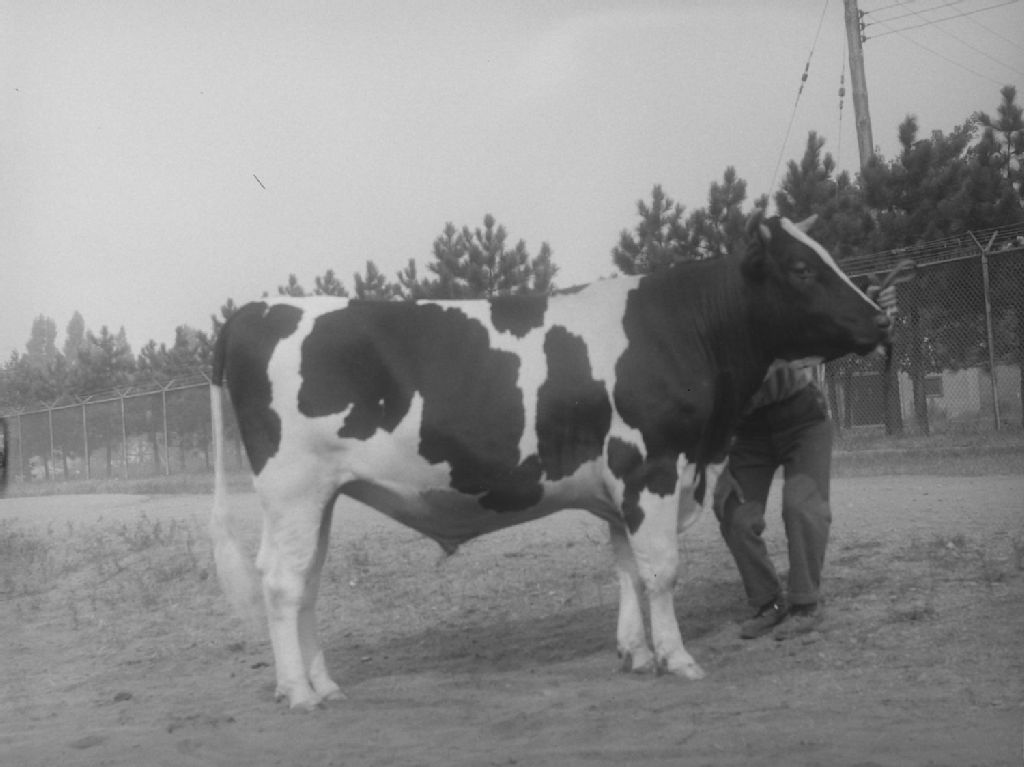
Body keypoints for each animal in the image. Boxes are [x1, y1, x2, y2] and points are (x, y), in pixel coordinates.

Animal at [210, 213, 891, 709]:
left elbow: (626, 568)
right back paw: (300, 694)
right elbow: (661, 570)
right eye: (801, 267)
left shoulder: (621, 484)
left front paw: (635, 653)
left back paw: (320, 684)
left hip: (316, 497)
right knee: (284, 583)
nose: (882, 317)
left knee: (303, 582)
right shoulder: (653, 467)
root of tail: (255, 308)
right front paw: (677, 658)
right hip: (295, 487)